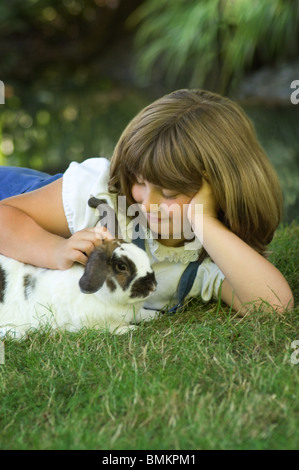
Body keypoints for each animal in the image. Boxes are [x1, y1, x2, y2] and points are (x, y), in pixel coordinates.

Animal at [0, 197, 159, 338]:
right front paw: (132, 329)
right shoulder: (92, 324)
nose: (153, 286)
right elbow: (113, 329)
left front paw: (154, 315)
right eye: (121, 266)